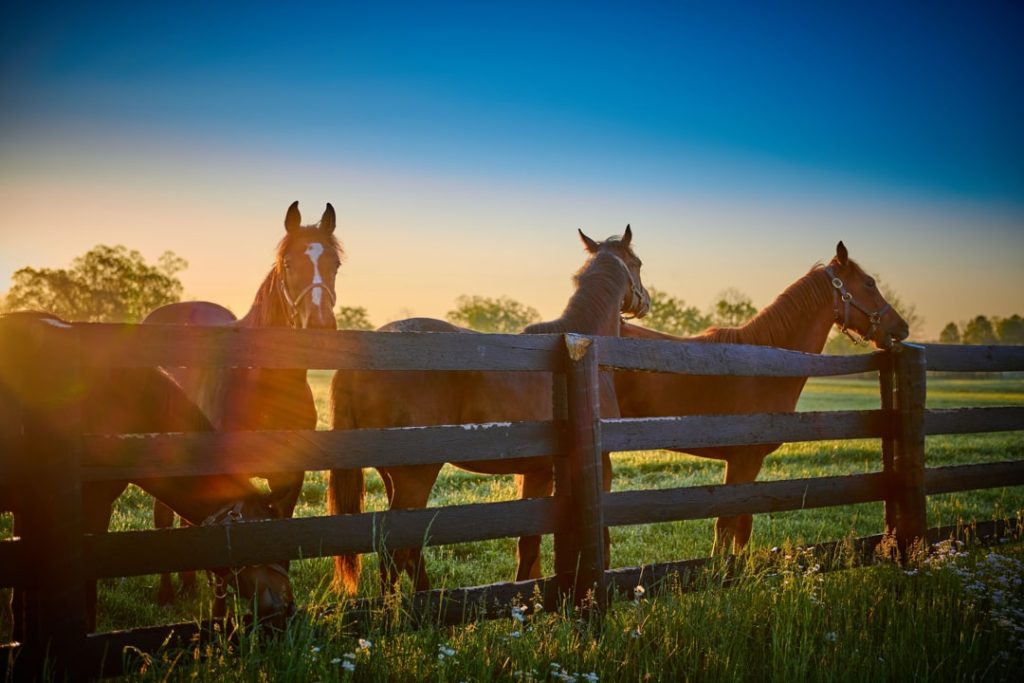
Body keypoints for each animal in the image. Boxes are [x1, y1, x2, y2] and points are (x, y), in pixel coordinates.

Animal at [144, 201, 341, 603]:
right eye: (288, 264)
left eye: (335, 264)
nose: (319, 326)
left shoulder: (290, 478)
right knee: (164, 516)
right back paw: (169, 592)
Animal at [327, 227, 650, 594]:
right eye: (637, 263)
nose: (646, 301)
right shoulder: (599, 467)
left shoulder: (538, 472)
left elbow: (529, 542)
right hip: (415, 476)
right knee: (395, 548)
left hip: (393, 476)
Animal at [614, 241, 910, 554]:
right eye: (869, 283)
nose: (901, 327)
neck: (765, 364)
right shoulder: (745, 459)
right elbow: (727, 524)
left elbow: (742, 524)